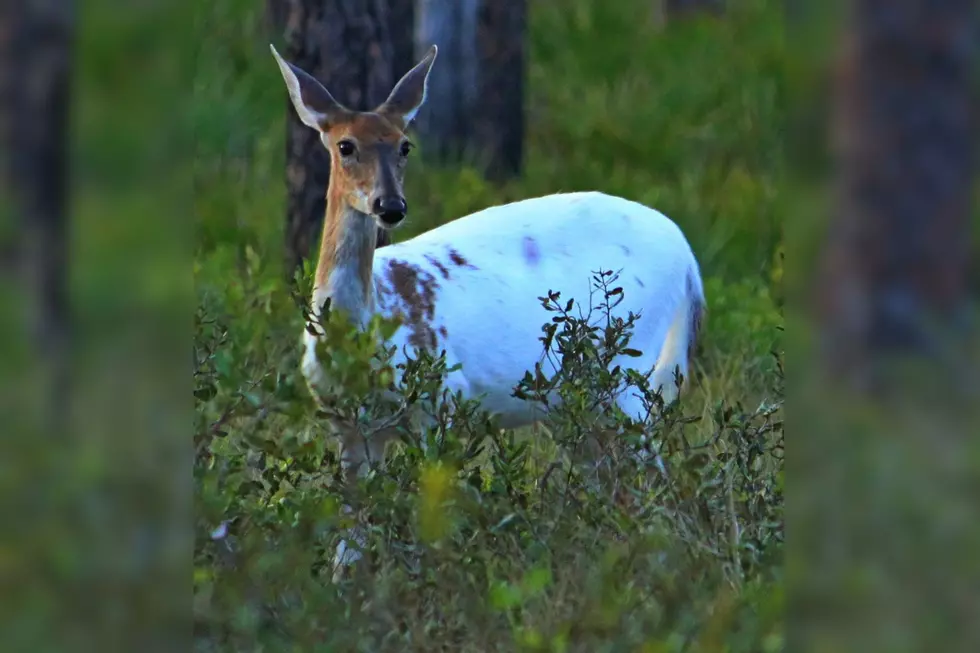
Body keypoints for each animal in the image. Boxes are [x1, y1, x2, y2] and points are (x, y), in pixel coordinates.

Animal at [269, 43, 706, 581]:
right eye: (345, 145)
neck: (366, 329)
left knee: (656, 484)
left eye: (405, 145)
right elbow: (351, 536)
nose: (390, 205)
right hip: (582, 399)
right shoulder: (348, 426)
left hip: (628, 369)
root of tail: (687, 255)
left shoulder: (442, 399)